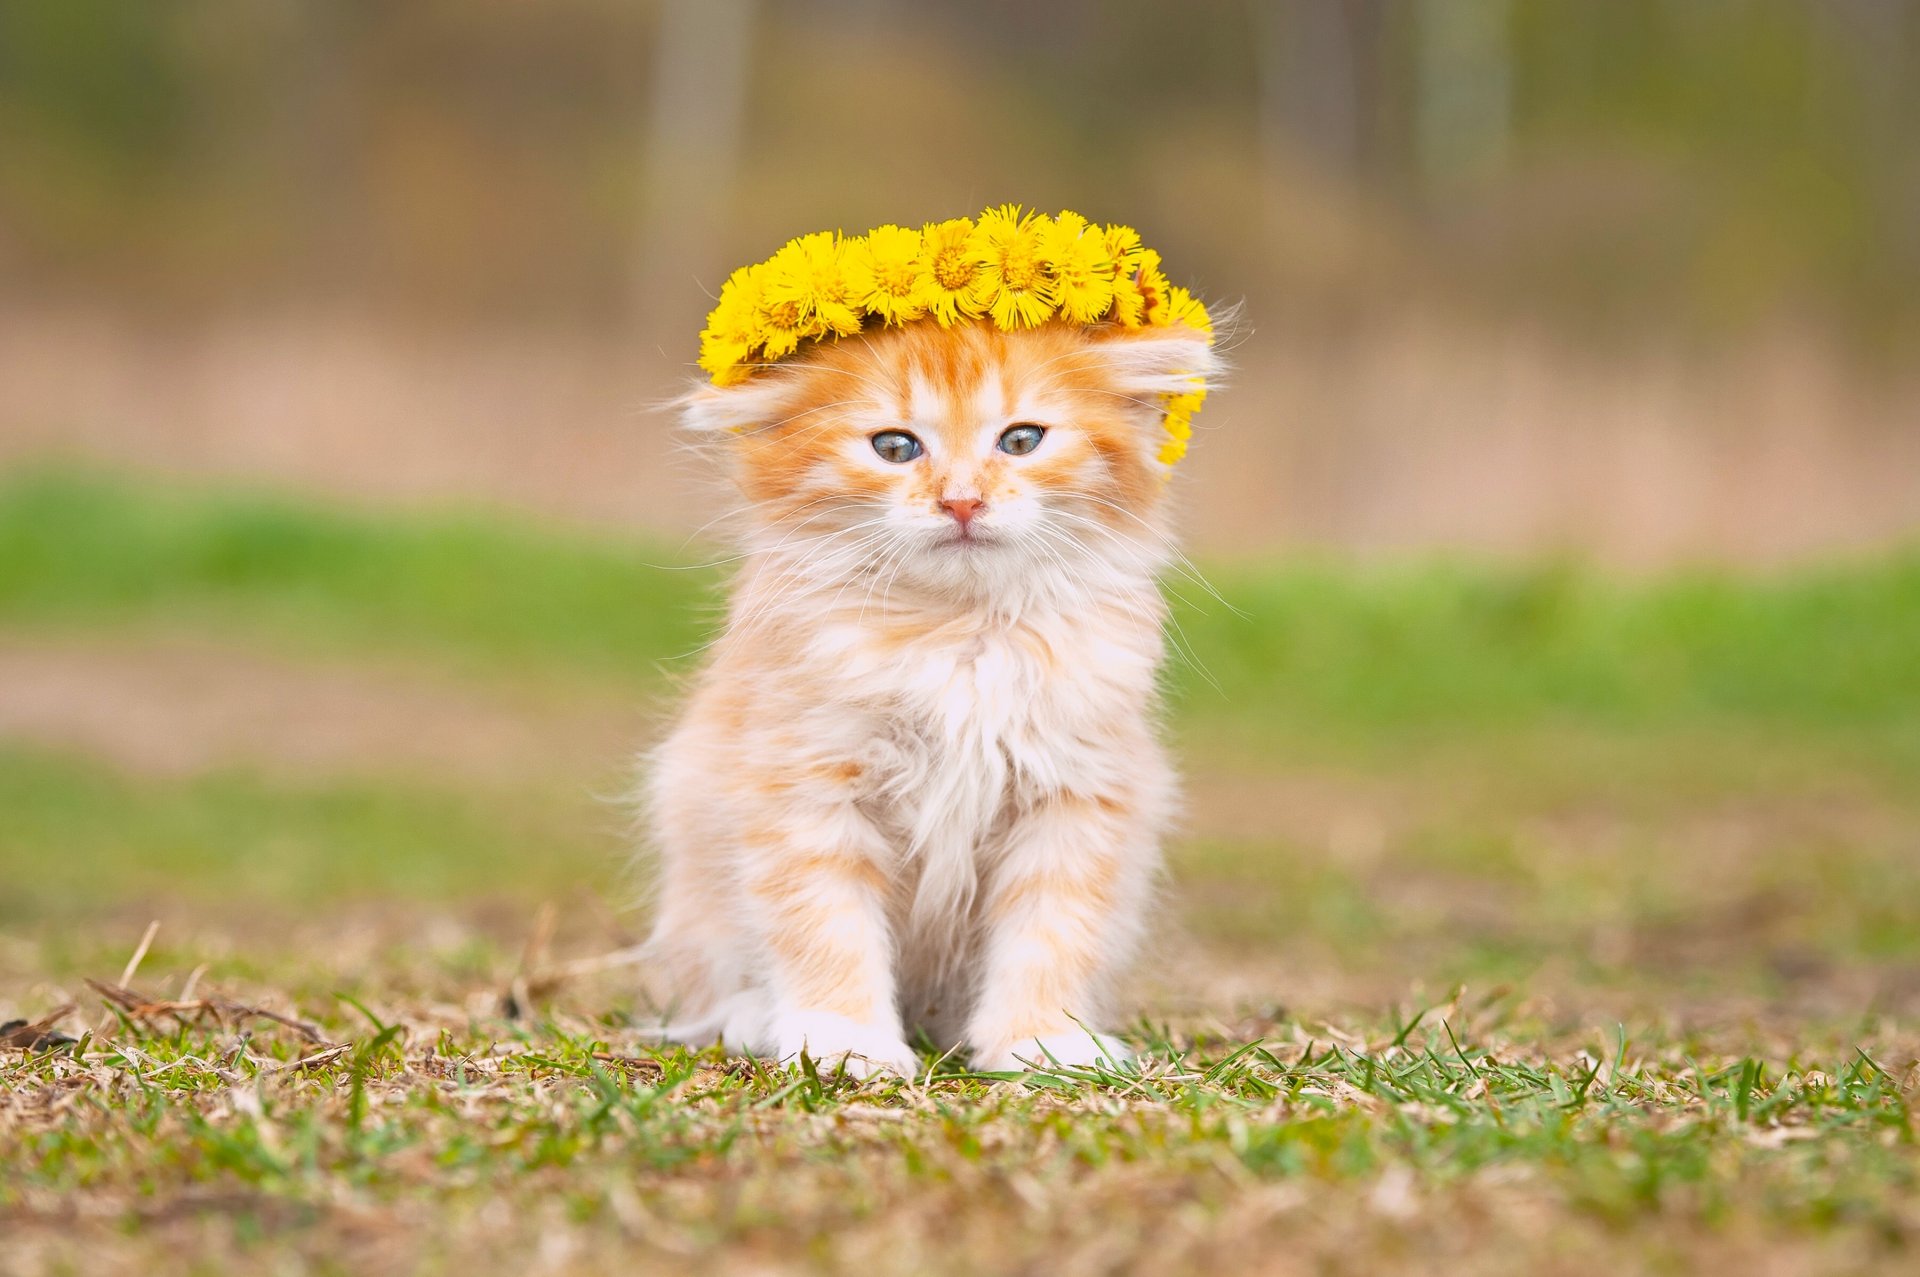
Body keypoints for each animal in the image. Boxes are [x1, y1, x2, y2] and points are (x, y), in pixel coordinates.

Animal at [641, 313, 1213, 1067]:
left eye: (1021, 440)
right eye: (895, 447)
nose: (962, 500)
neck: (958, 634)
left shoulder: (1075, 794)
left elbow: (1050, 933)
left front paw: (1041, 1042)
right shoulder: (806, 786)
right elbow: (826, 926)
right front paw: (846, 1042)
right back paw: (752, 1020)